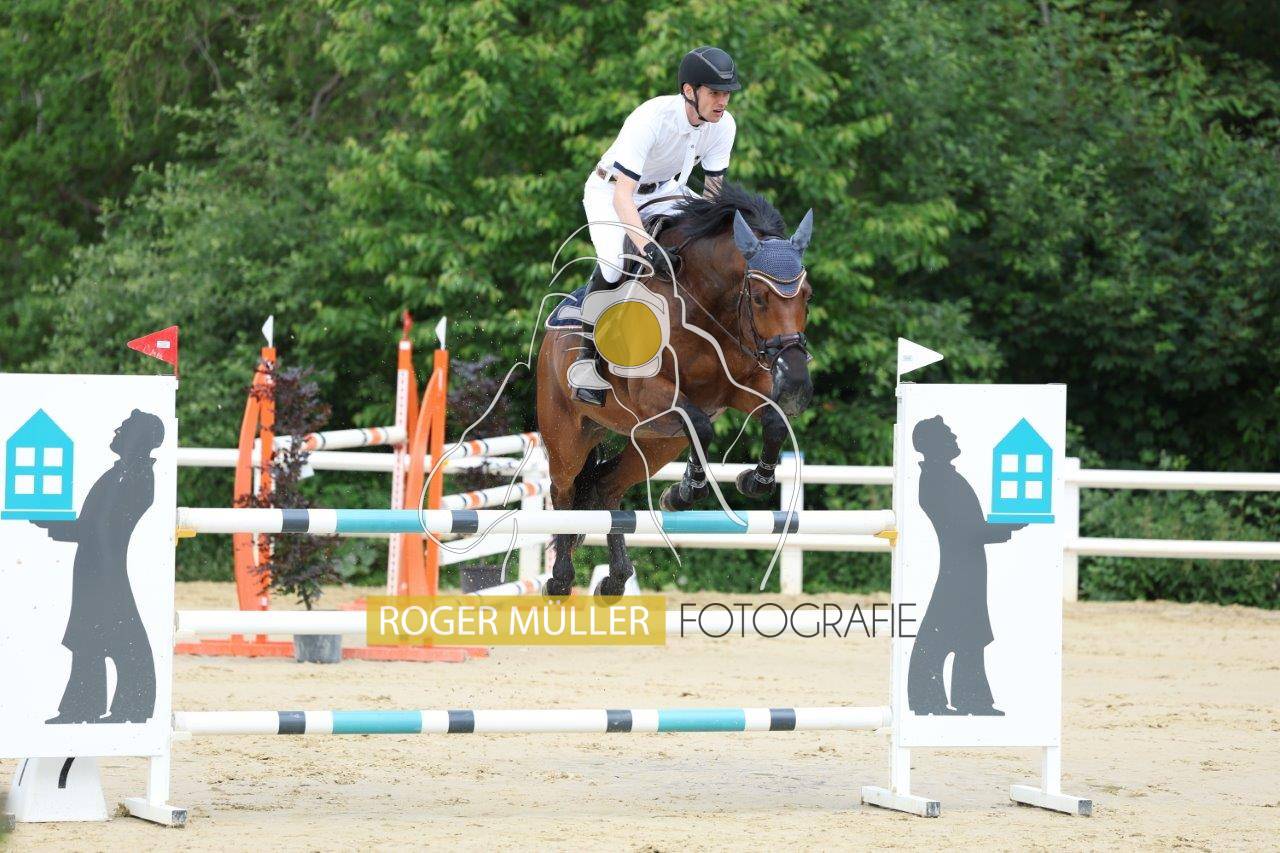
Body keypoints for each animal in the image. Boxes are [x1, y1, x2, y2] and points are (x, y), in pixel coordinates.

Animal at [535, 184, 815, 596]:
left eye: (807, 295)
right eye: (760, 298)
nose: (795, 383)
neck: (704, 308)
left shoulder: (737, 390)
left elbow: (774, 422)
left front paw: (753, 480)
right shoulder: (652, 393)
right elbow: (702, 426)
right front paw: (688, 491)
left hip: (657, 443)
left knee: (606, 487)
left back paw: (615, 579)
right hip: (567, 437)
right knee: (564, 492)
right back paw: (560, 579)